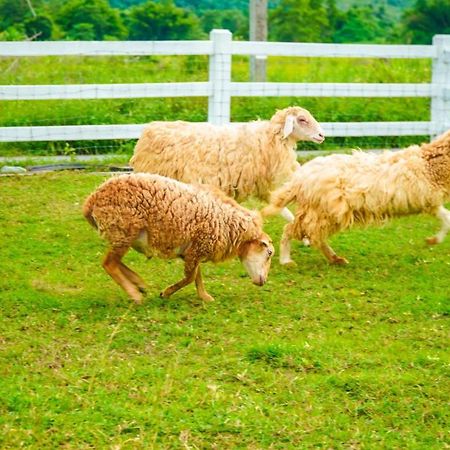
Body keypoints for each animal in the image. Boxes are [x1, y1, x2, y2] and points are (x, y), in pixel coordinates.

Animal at [83, 171, 274, 302]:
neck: (229, 224)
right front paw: (166, 293)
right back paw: (135, 294)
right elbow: (190, 277)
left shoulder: (194, 249)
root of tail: (91, 201)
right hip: (122, 229)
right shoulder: (198, 247)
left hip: (122, 235)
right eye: (269, 253)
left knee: (115, 261)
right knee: (109, 263)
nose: (264, 281)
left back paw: (139, 284)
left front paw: (205, 297)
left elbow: (197, 275)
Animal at [128, 107, 326, 223]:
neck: (270, 138)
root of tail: (148, 131)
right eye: (302, 120)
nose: (322, 135)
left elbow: (281, 209)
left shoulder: (263, 186)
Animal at [262, 129, 450, 264]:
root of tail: (299, 178)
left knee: (315, 237)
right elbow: (447, 217)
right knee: (291, 230)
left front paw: (433, 240)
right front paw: (433, 240)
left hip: (321, 214)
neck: (430, 163)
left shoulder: (429, 202)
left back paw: (335, 259)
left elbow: (446, 216)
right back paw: (286, 260)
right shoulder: (428, 201)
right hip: (323, 213)